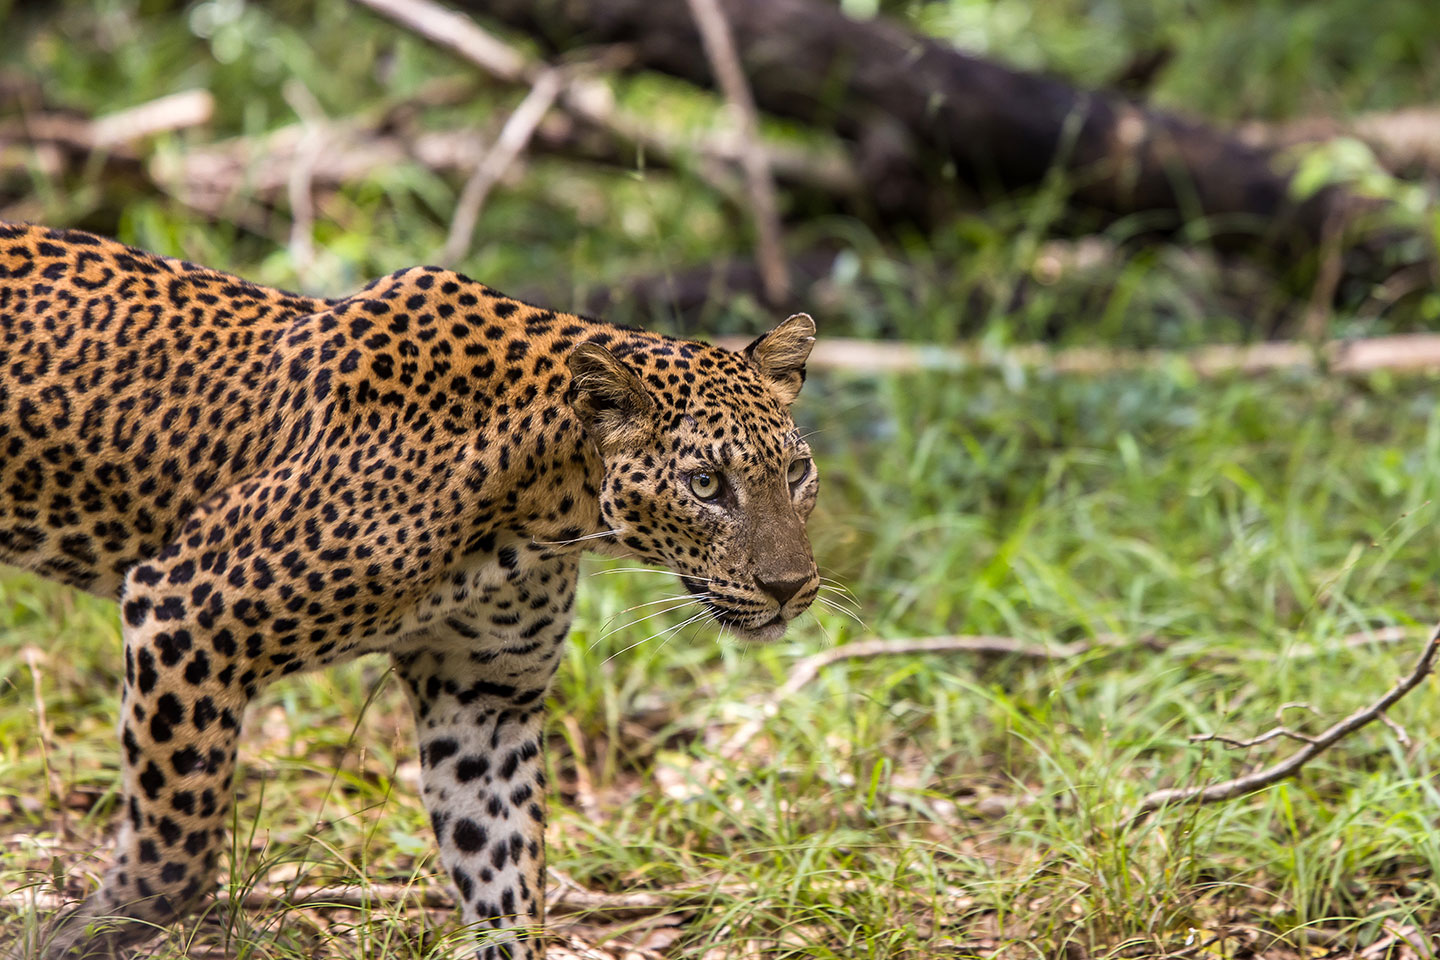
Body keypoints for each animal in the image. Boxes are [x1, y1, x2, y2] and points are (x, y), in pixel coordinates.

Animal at [0, 221, 821, 959]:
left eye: (796, 473)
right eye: (706, 485)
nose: (791, 588)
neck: (549, 506)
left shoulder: (484, 699)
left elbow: (501, 870)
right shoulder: (185, 610)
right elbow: (176, 848)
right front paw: (78, 932)